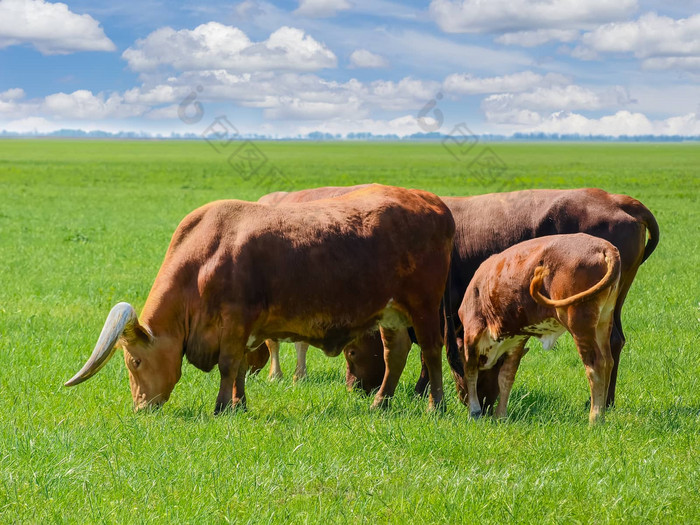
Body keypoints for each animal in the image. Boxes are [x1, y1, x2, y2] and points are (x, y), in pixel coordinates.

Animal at [63, 186, 452, 412]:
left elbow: (228, 365)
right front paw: (239, 404)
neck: (206, 256)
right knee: (395, 353)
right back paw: (379, 404)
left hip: (424, 308)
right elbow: (239, 368)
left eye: (135, 362)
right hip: (392, 312)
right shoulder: (242, 331)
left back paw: (436, 406)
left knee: (432, 352)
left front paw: (222, 407)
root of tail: (435, 203)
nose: (141, 408)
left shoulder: (236, 322)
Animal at [456, 233, 620, 426]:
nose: (484, 407)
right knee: (609, 361)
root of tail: (603, 247)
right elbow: (505, 378)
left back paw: (595, 419)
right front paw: (500, 416)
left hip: (579, 322)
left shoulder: (471, 334)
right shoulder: (517, 340)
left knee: (596, 365)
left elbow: (470, 371)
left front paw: (474, 412)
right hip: (603, 320)